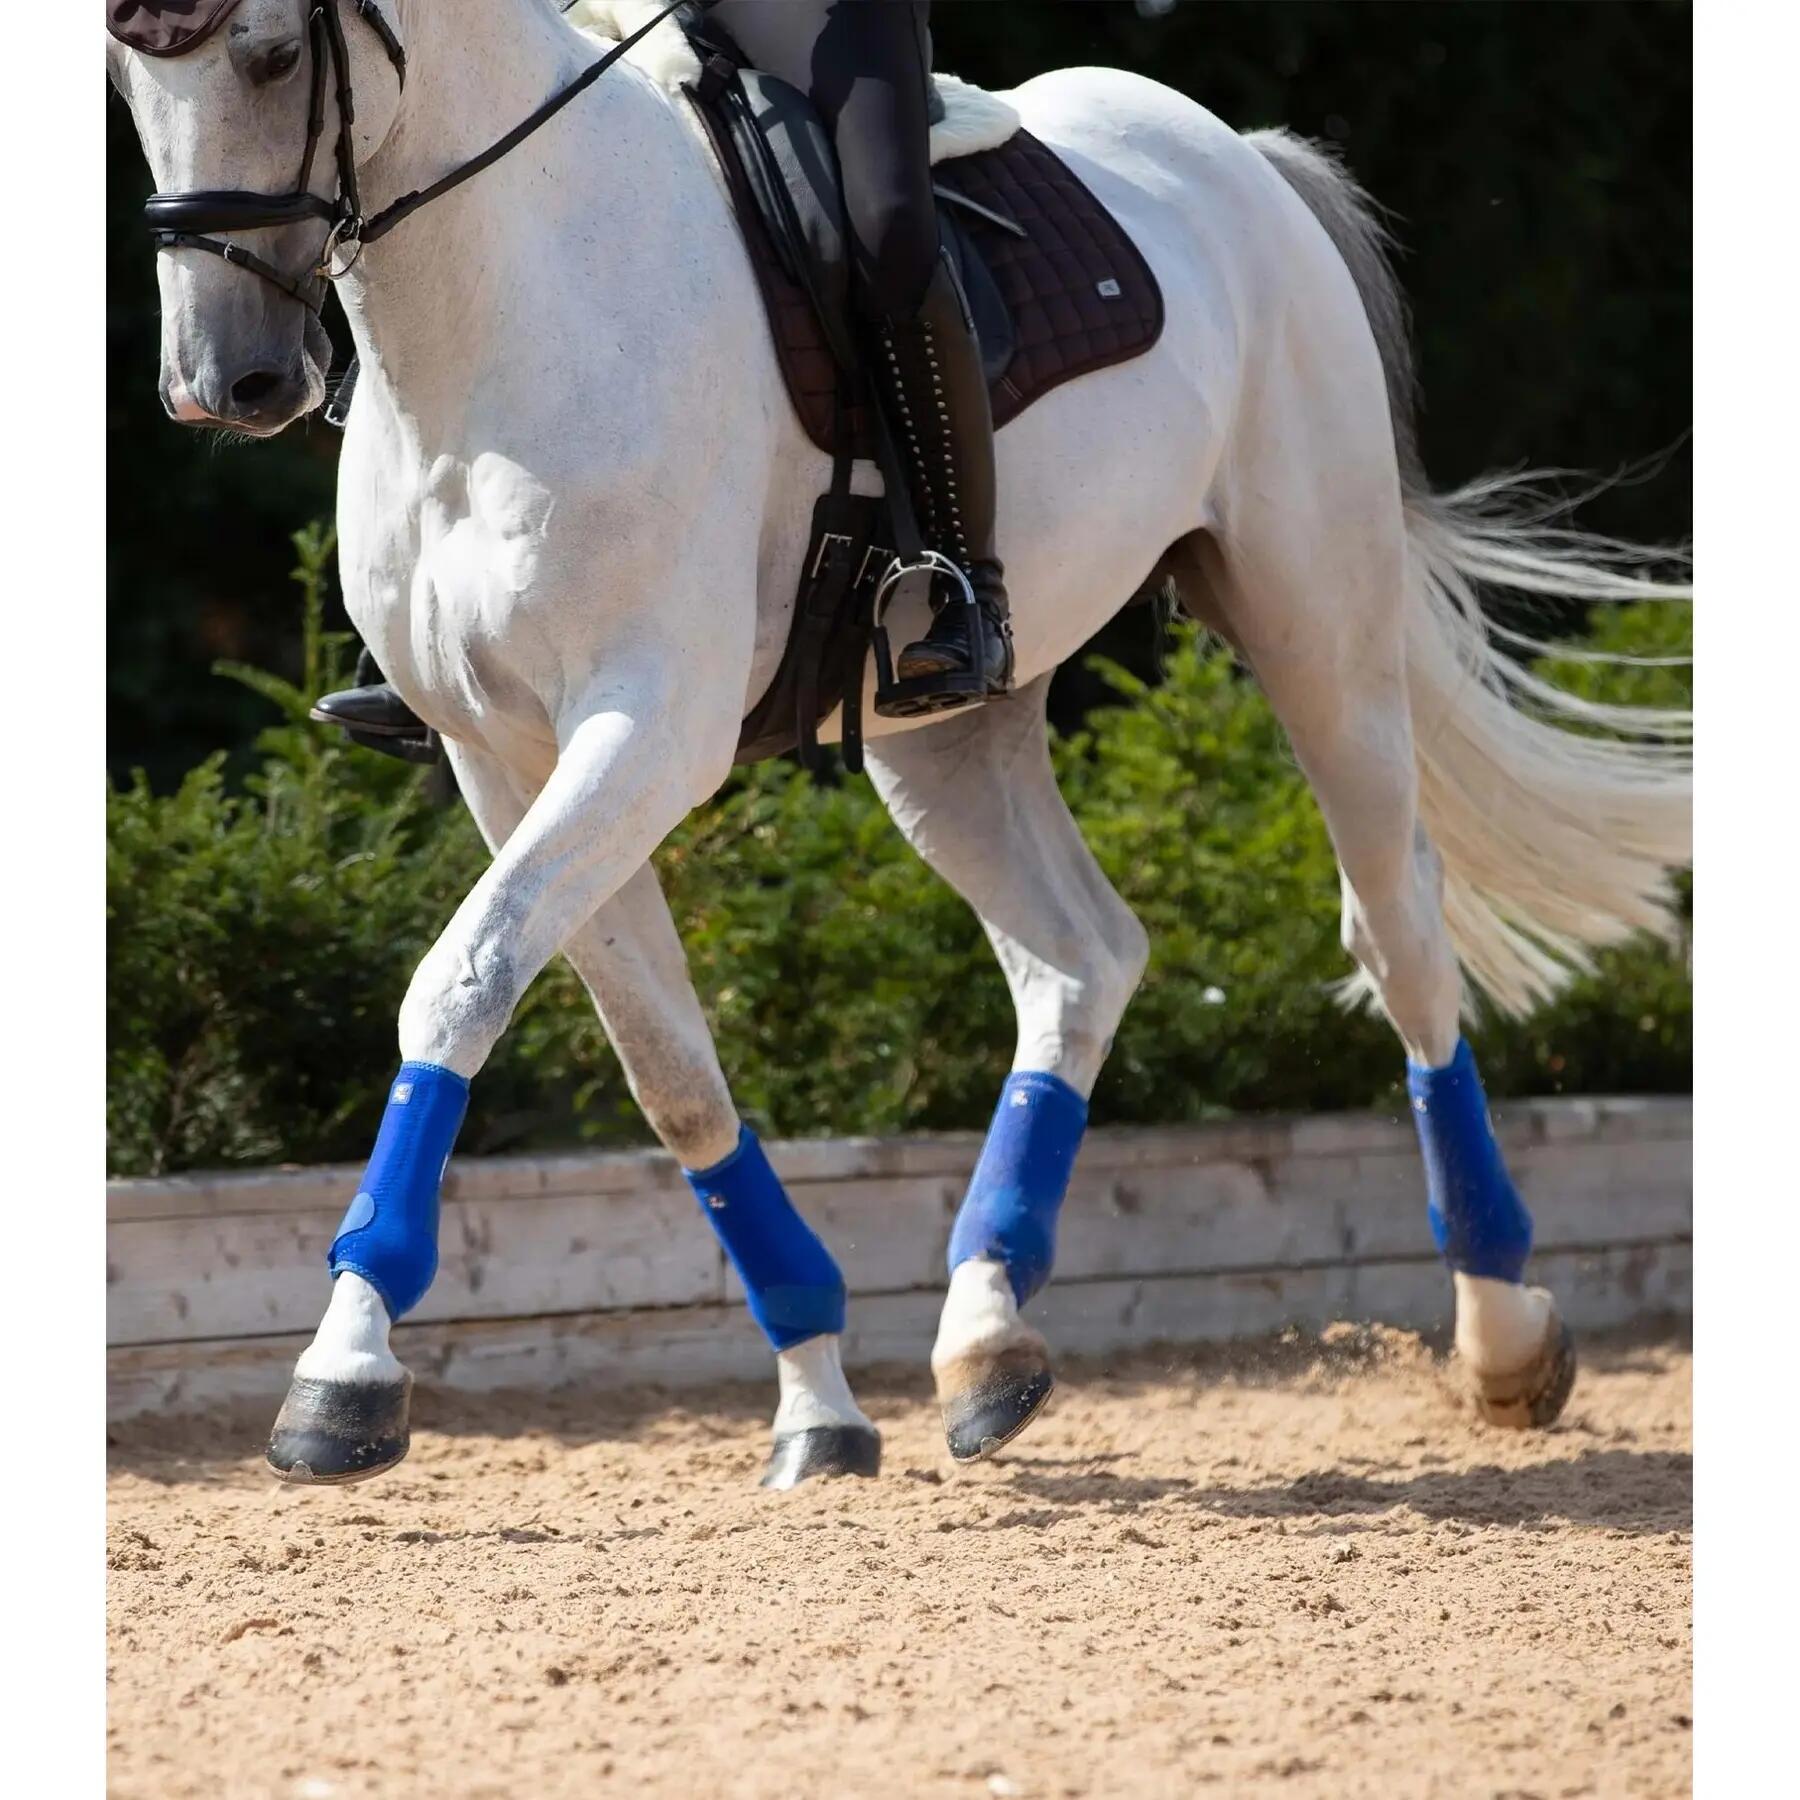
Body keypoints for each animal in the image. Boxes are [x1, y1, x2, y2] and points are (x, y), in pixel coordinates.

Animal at [108, 0, 1691, 1488]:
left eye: (266, 56)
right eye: (127, 81)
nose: (223, 385)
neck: (507, 303)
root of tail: (1241, 158)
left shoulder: (648, 726)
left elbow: (460, 983)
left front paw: (343, 1375)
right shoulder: (504, 757)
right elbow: (666, 1065)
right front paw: (817, 1396)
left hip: (1320, 628)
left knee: (1399, 933)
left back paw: (1505, 1336)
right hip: (945, 734)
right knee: (1082, 956)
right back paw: (988, 1340)